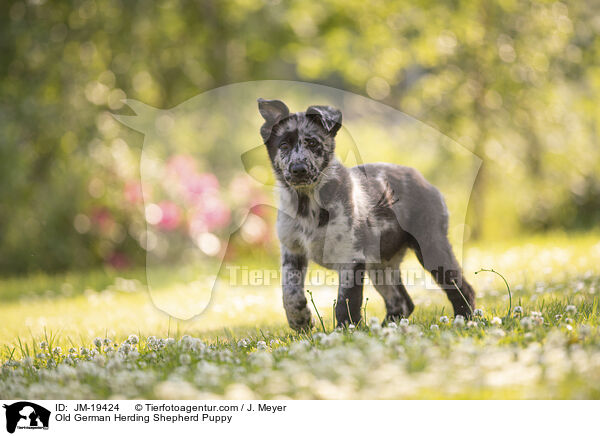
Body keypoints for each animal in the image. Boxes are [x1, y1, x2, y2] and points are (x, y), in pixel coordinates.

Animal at [256, 98, 474, 330]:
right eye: (283, 146)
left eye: (313, 143)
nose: (298, 170)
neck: (308, 203)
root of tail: (425, 181)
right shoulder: (292, 252)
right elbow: (290, 292)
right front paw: (301, 320)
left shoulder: (351, 257)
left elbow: (346, 302)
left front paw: (346, 331)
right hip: (381, 265)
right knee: (402, 301)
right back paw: (386, 329)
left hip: (431, 246)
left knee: (461, 288)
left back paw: (465, 319)